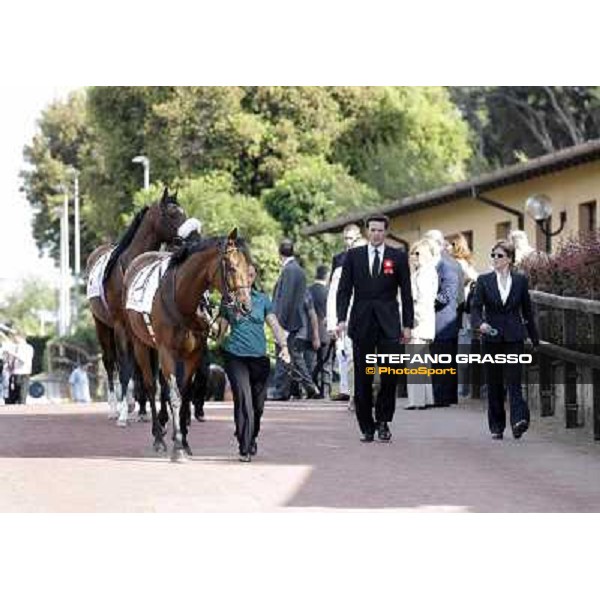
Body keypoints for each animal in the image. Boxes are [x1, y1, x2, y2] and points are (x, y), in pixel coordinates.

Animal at [85, 188, 186, 426]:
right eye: (171, 214)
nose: (191, 236)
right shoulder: (121, 325)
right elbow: (125, 366)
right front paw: (123, 413)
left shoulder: (148, 327)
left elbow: (153, 370)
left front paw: (157, 412)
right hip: (102, 324)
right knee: (111, 362)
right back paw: (115, 407)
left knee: (137, 367)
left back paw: (138, 407)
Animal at [124, 229, 251, 460]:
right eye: (231, 266)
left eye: (249, 267)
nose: (246, 305)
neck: (182, 300)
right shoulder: (166, 351)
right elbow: (175, 396)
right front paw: (177, 446)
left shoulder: (193, 354)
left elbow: (184, 394)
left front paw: (184, 440)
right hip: (141, 344)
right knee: (150, 386)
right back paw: (158, 437)